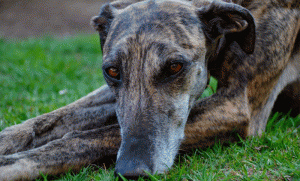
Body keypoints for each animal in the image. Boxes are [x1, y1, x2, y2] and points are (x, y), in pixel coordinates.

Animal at [0, 0, 300, 180]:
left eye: (175, 66)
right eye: (112, 71)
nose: (132, 170)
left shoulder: (237, 105)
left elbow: (90, 137)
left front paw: (13, 164)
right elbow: (51, 120)